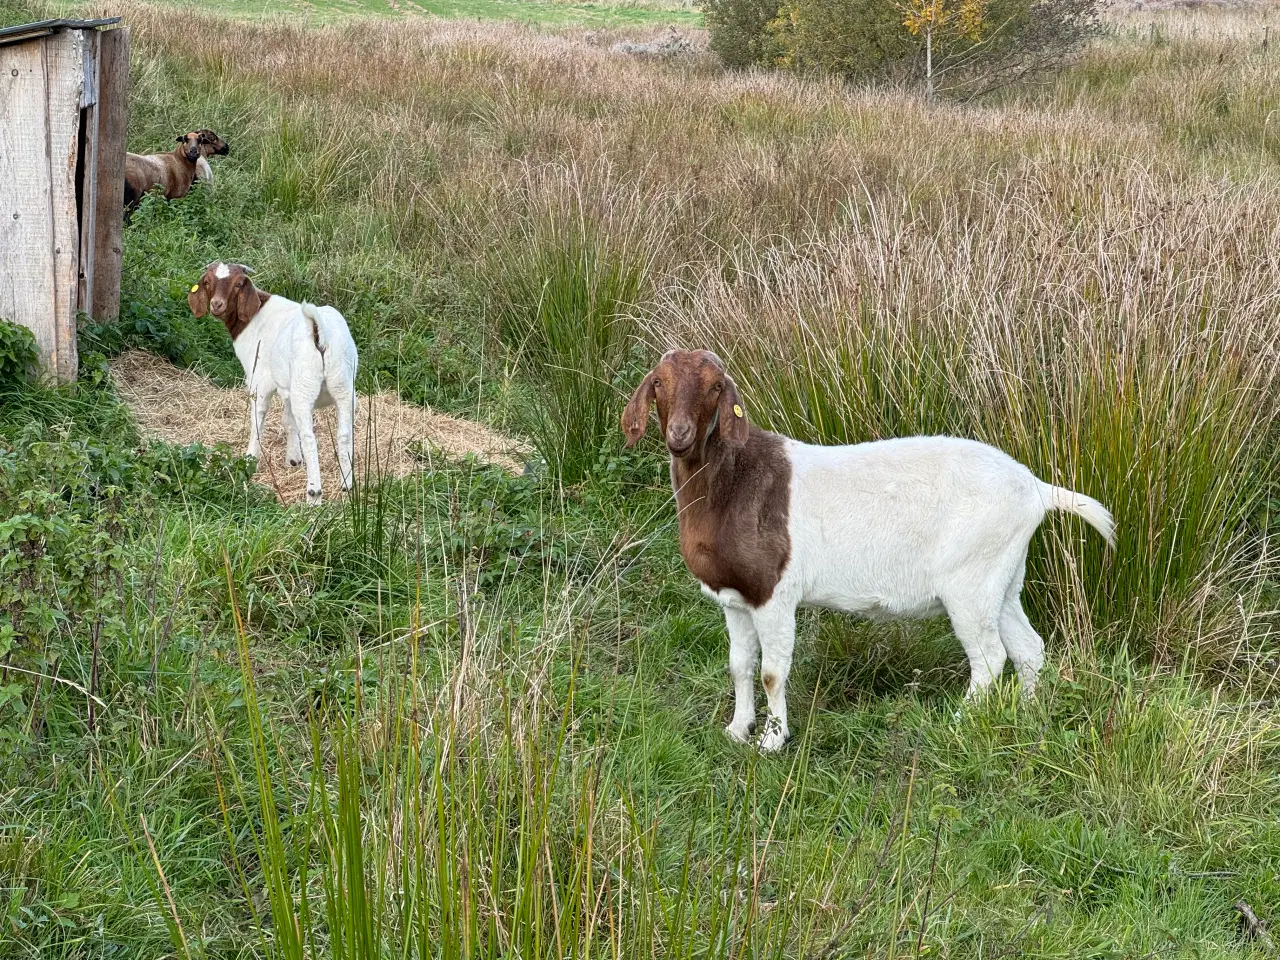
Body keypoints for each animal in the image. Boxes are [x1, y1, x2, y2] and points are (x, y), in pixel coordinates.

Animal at [619, 350, 1111, 757]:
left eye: (715, 387)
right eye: (658, 383)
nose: (680, 434)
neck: (732, 482)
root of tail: (1035, 489)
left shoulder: (774, 593)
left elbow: (772, 672)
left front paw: (772, 741)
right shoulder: (737, 597)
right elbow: (740, 666)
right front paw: (737, 730)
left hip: (970, 579)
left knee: (990, 657)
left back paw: (958, 722)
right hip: (1003, 576)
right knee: (1028, 647)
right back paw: (1025, 714)